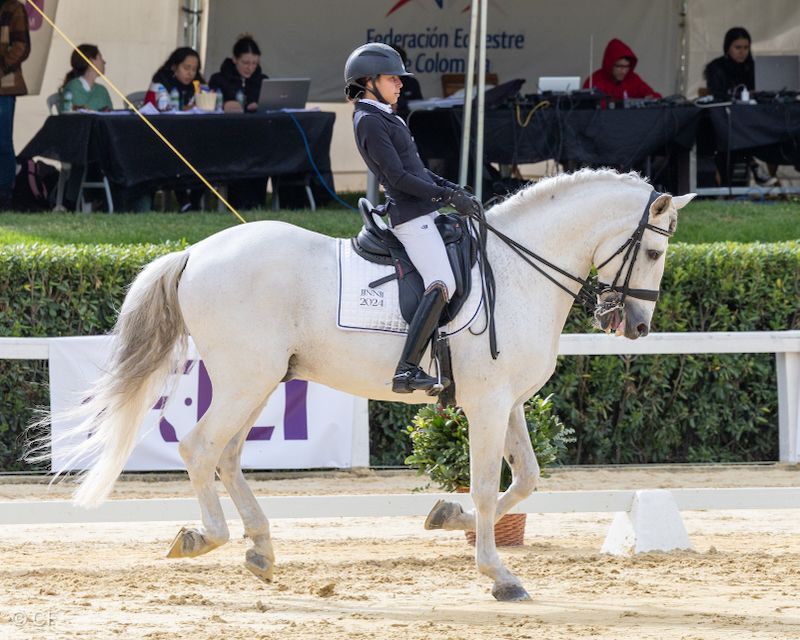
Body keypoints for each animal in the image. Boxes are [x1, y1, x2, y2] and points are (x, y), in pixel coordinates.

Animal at [42, 169, 694, 601]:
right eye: (653, 250)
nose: (636, 326)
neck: (515, 273)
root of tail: (195, 254)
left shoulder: (505, 402)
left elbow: (527, 479)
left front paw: (445, 516)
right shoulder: (486, 404)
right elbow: (488, 487)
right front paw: (500, 576)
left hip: (261, 381)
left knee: (226, 456)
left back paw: (259, 549)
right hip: (244, 379)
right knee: (200, 448)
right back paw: (207, 538)